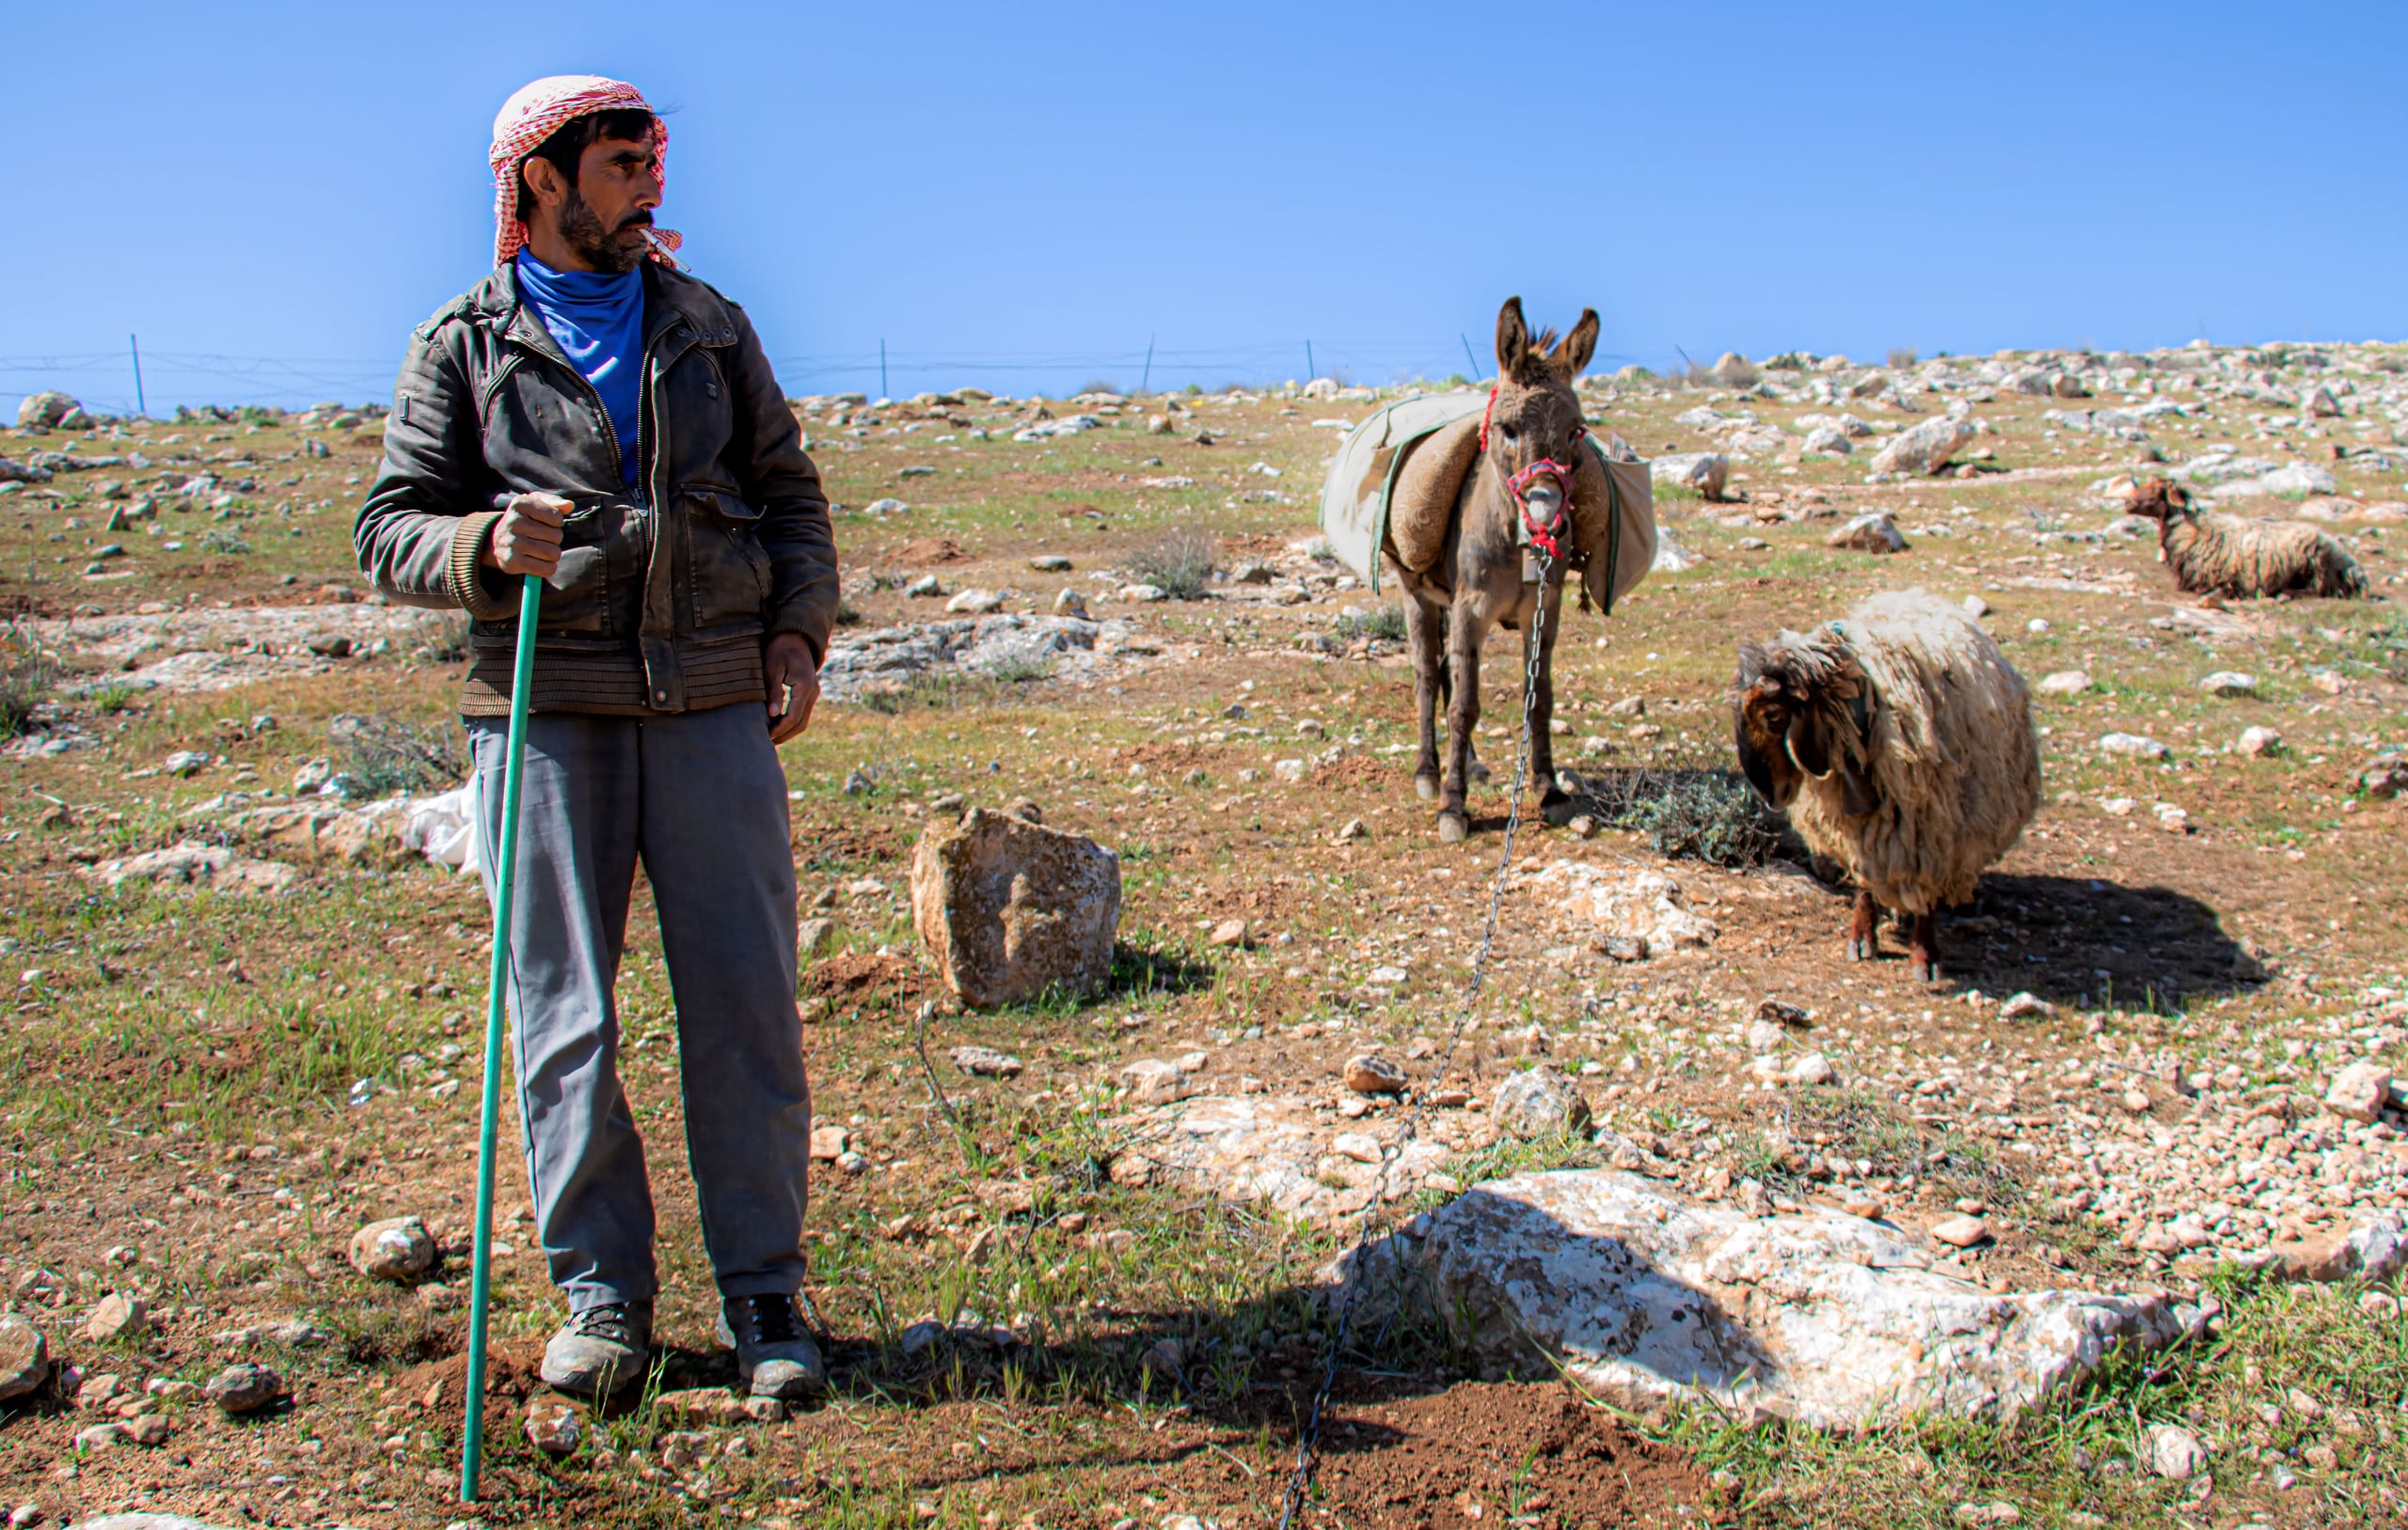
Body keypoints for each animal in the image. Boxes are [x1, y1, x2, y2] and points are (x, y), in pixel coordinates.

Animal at [1731, 589, 2039, 983]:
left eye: (1774, 716)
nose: (1767, 794)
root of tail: (1919, 594)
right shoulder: (1859, 828)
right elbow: (1866, 881)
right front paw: (1862, 937)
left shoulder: (1931, 826)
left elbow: (1926, 886)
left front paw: (1925, 955)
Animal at [2126, 477, 2369, 600]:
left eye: (2157, 492)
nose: (2127, 502)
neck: (2193, 528)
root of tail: (2355, 567)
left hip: (2315, 565)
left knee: (2317, 589)